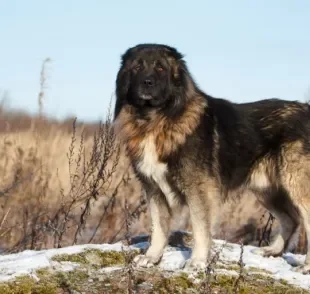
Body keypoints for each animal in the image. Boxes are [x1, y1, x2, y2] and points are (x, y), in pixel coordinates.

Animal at [112, 43, 310, 274]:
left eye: (160, 68)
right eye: (137, 67)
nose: (147, 82)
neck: (156, 120)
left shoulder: (199, 189)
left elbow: (199, 227)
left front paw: (197, 261)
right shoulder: (154, 189)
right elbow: (159, 227)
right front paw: (151, 257)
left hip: (295, 184)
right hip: (266, 189)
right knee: (291, 219)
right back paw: (273, 250)